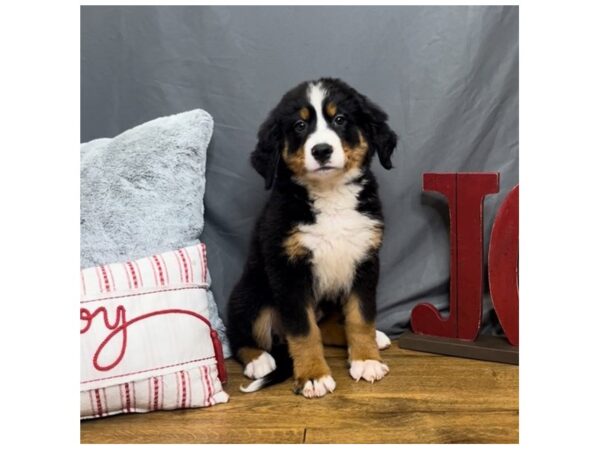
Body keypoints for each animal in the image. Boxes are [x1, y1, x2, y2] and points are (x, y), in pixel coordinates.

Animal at [227, 77, 396, 398]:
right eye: (299, 126)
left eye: (340, 119)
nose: (321, 150)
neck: (331, 194)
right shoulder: (288, 270)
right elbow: (304, 331)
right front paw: (314, 376)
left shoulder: (366, 260)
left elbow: (361, 318)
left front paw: (366, 359)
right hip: (251, 291)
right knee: (239, 335)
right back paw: (259, 360)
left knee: (327, 327)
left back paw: (375, 338)